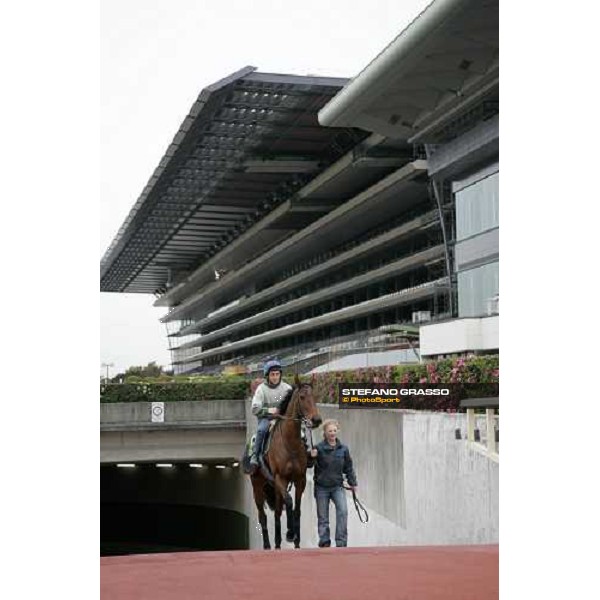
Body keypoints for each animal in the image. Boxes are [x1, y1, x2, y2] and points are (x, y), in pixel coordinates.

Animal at [250, 376, 324, 548]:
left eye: (314, 396)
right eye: (302, 397)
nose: (316, 420)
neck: (290, 444)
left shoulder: (299, 479)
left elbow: (297, 509)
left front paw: (296, 541)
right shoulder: (280, 479)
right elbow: (289, 503)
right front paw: (290, 533)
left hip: (274, 489)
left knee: (277, 513)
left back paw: (278, 543)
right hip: (258, 486)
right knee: (262, 516)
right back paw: (267, 545)